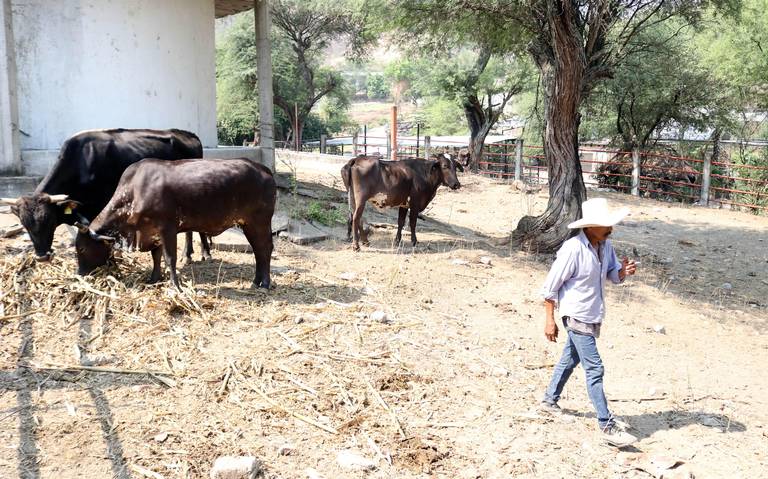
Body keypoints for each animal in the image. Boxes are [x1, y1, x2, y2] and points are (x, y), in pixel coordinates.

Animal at [0, 127, 210, 262]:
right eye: (24, 225)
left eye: (49, 220)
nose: (42, 257)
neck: (82, 163)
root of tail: (186, 133)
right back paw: (189, 253)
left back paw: (201, 253)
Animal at [75, 159, 278, 290]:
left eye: (82, 249)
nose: (79, 274)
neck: (134, 191)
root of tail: (264, 169)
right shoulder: (152, 232)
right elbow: (156, 257)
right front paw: (154, 279)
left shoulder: (167, 228)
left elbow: (169, 258)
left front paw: (174, 286)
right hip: (247, 224)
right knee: (258, 251)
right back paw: (256, 281)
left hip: (259, 222)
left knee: (265, 248)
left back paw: (265, 284)